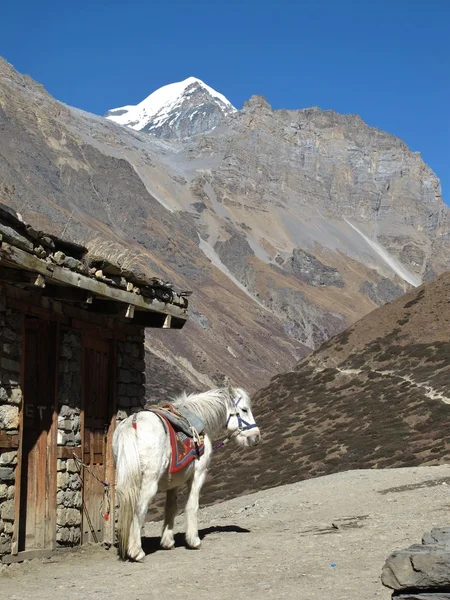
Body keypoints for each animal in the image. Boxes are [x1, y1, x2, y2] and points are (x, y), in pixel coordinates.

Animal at [112, 386, 260, 560]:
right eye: (244, 409)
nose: (255, 437)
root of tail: (132, 423)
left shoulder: (173, 482)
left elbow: (171, 508)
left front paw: (168, 542)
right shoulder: (198, 474)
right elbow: (192, 505)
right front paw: (193, 540)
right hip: (149, 482)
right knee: (139, 509)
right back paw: (136, 551)